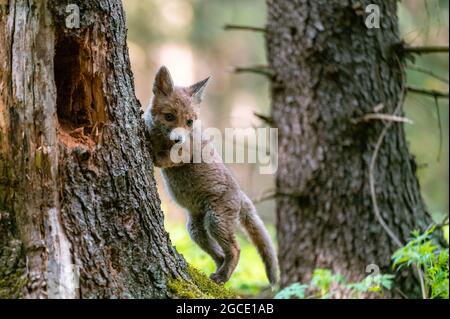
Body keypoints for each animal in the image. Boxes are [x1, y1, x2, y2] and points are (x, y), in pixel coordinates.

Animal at [144, 65, 278, 284]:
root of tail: (241, 195)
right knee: (221, 254)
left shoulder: (184, 152)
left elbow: (164, 158)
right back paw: (217, 274)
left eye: (189, 121)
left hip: (215, 221)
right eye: (169, 116)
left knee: (235, 250)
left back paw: (221, 277)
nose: (179, 139)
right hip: (196, 229)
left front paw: (152, 150)